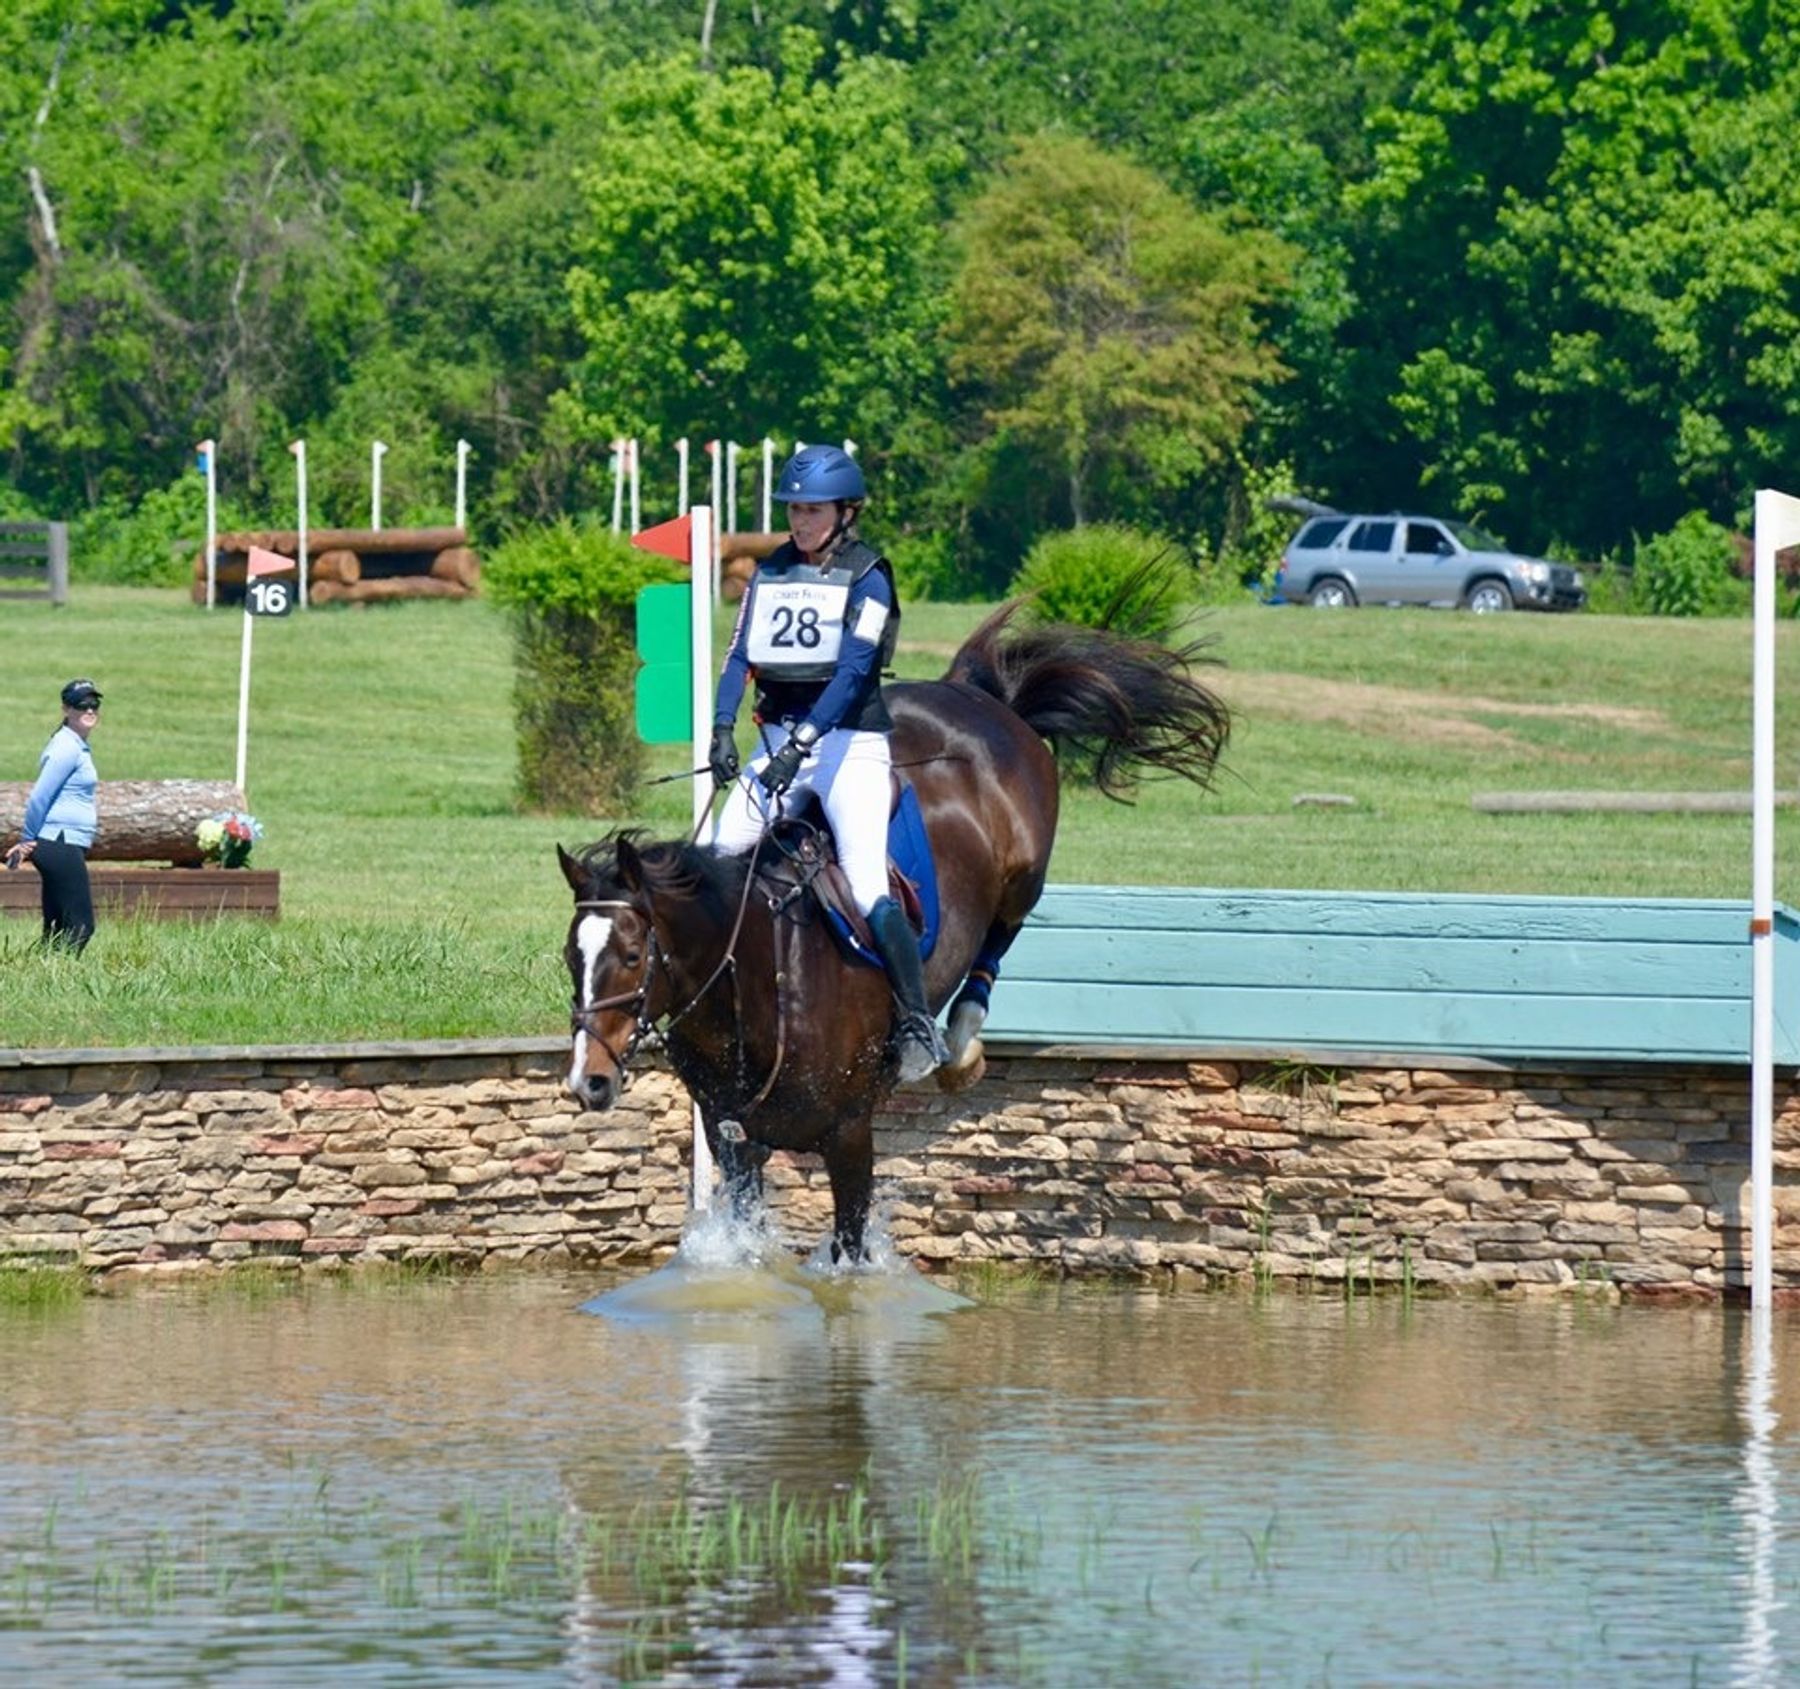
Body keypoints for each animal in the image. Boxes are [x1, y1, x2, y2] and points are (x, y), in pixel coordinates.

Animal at [561, 597, 1231, 1260]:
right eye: (573, 958)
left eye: (631, 956)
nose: (588, 1081)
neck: (757, 980)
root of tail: (973, 695)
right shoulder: (734, 1138)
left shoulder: (850, 1134)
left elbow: (849, 1256)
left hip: (1024, 872)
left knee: (999, 930)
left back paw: (958, 1037)